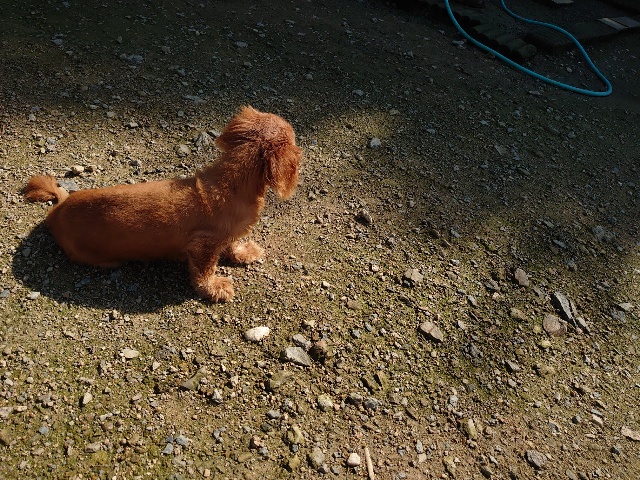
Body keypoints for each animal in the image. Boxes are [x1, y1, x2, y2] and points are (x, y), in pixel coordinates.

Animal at [24, 106, 302, 302]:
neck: (231, 182)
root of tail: (58, 209)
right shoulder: (202, 245)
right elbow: (204, 272)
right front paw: (214, 288)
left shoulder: (226, 235)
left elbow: (232, 245)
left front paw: (244, 252)